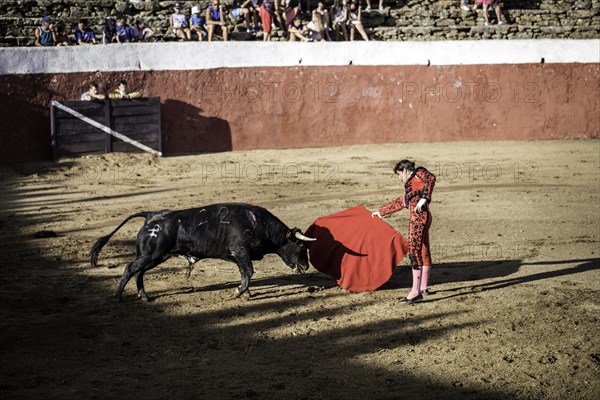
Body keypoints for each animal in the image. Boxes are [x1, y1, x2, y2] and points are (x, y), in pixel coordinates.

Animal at [88, 203, 316, 300]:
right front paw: (239, 292)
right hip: (149, 255)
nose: (306, 266)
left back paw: (144, 296)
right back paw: (118, 296)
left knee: (140, 272)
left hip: (156, 256)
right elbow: (249, 272)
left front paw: (246, 292)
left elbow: (244, 273)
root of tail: (152, 216)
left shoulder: (237, 256)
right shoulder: (239, 250)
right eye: (302, 246)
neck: (257, 223)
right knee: (130, 268)